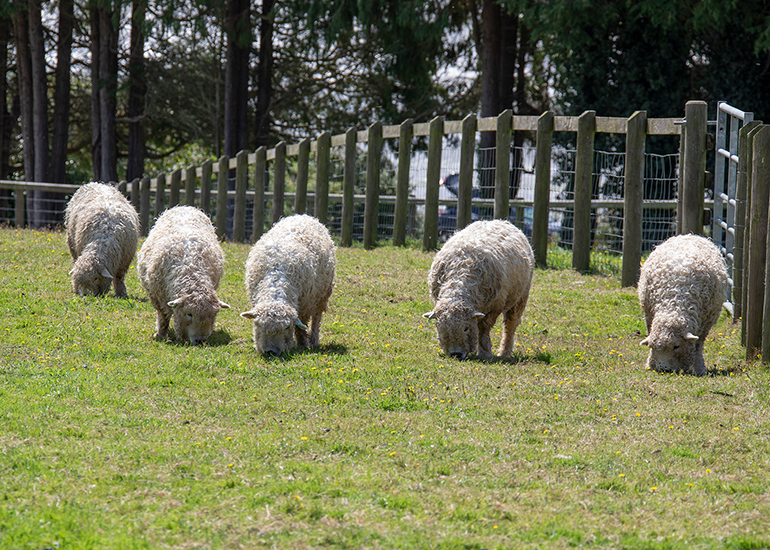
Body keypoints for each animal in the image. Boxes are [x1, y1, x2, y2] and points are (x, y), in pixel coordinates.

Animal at [137, 206, 230, 344]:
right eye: (189, 314)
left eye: (212, 316)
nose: (200, 340)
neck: (190, 268)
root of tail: (185, 206)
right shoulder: (159, 297)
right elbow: (163, 316)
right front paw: (161, 334)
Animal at [241, 214, 336, 356]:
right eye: (259, 325)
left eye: (286, 327)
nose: (271, 352)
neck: (276, 280)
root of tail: (304, 216)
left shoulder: (304, 306)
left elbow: (301, 326)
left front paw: (302, 343)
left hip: (322, 296)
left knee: (316, 318)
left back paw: (313, 340)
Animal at [424, 219, 534, 360]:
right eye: (440, 328)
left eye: (466, 328)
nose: (456, 354)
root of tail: (500, 220)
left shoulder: (495, 306)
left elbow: (483, 327)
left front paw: (484, 352)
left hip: (520, 297)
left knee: (510, 324)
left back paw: (505, 352)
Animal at [638, 234, 729, 376]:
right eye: (653, 346)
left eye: (676, 346)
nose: (664, 370)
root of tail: (690, 235)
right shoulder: (649, 316)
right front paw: (650, 364)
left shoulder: (705, 323)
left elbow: (698, 345)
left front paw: (699, 369)